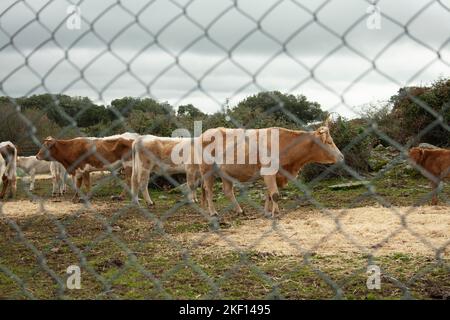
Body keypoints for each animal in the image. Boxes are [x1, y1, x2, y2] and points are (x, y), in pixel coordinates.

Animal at [197, 123, 344, 218]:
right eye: (329, 142)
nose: (342, 157)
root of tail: (205, 133)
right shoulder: (268, 172)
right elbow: (275, 195)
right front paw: (276, 213)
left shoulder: (275, 174)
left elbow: (269, 194)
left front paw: (267, 212)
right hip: (207, 170)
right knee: (208, 190)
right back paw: (213, 212)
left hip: (226, 172)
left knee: (227, 191)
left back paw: (240, 211)